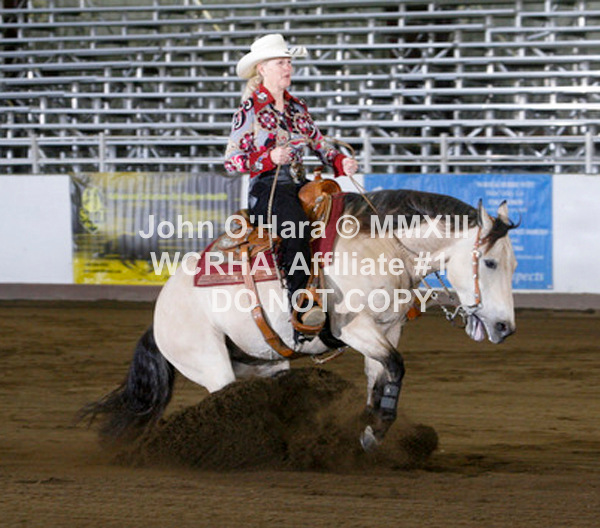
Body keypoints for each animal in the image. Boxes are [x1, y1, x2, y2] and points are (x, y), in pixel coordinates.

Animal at [80, 189, 518, 450]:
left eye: (513, 264)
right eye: (490, 262)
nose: (505, 328)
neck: (381, 247)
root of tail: (159, 317)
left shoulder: (387, 329)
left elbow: (379, 377)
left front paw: (366, 429)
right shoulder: (353, 328)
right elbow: (396, 366)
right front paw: (375, 432)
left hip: (262, 362)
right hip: (209, 364)